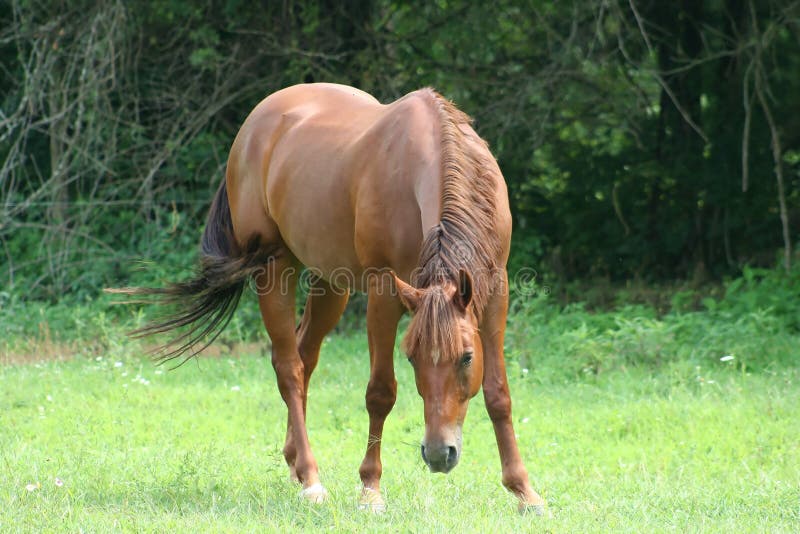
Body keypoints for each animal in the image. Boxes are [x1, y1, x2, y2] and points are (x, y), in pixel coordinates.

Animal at [111, 82, 544, 516]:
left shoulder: (494, 288)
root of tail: (255, 123)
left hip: (330, 282)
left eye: (467, 357)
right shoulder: (384, 291)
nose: (439, 455)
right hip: (275, 269)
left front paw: (524, 490)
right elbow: (381, 392)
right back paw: (311, 479)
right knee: (288, 367)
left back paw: (294, 464)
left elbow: (498, 394)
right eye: (410, 358)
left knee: (305, 356)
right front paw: (370, 488)